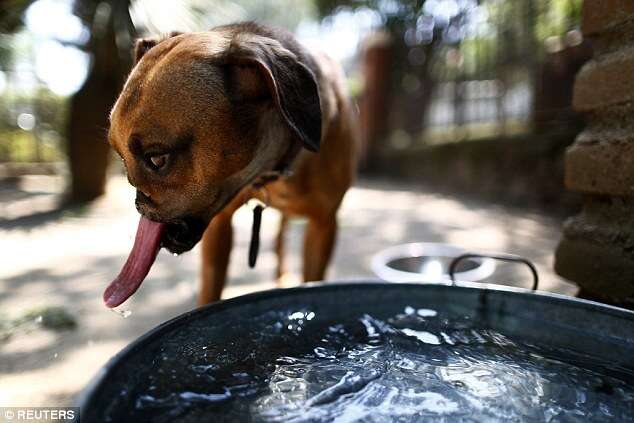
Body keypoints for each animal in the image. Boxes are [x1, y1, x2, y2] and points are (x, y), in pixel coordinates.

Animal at [106, 22, 358, 308]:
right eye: (121, 157)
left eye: (157, 159)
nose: (138, 201)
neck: (269, 171)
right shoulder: (219, 228)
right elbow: (210, 290)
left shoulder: (323, 225)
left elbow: (313, 279)